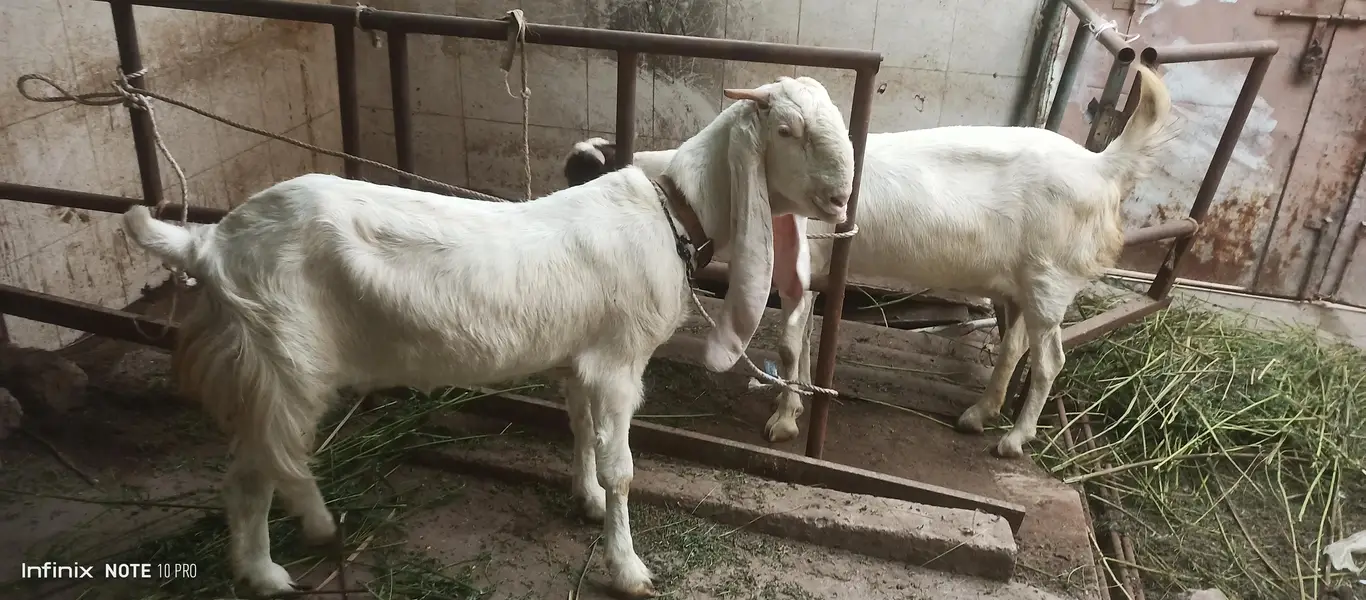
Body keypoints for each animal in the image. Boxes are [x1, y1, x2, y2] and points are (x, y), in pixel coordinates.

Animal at [120, 75, 853, 598]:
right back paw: (269, 573)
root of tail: (209, 242)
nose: (842, 201)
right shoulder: (618, 363)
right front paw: (628, 568)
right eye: (786, 129)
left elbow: (581, 434)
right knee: (254, 474)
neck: (672, 206)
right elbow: (622, 468)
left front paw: (586, 502)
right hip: (281, 367)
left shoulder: (580, 360)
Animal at [559, 64, 1174, 459]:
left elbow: (788, 344)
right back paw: (979, 415)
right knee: (1015, 346)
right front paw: (799, 402)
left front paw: (783, 421)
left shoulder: (801, 266)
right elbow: (804, 342)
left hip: (1051, 280)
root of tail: (1101, 166)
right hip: (1022, 282)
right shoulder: (811, 275)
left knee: (1049, 361)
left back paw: (1014, 440)